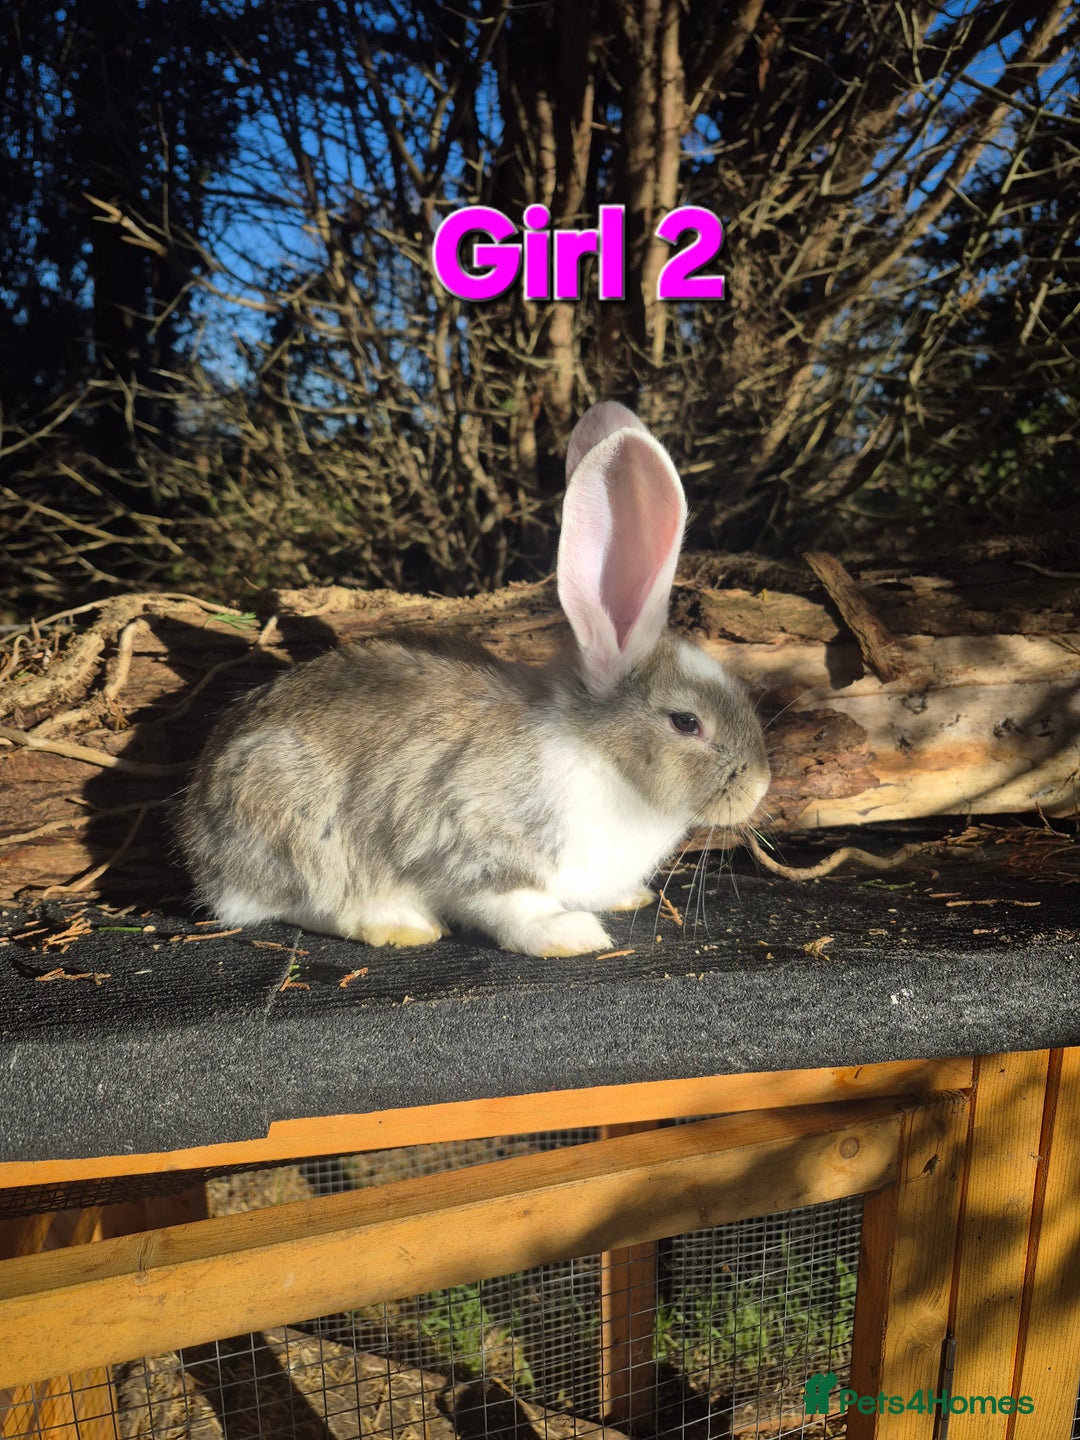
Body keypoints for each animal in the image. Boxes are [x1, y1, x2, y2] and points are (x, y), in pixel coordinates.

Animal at [178, 401, 770, 958]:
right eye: (686, 722)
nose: (761, 785)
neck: (601, 755)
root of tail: (202, 841)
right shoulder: (479, 847)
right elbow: (509, 905)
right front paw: (570, 935)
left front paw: (628, 898)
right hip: (296, 825)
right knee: (302, 902)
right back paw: (396, 923)